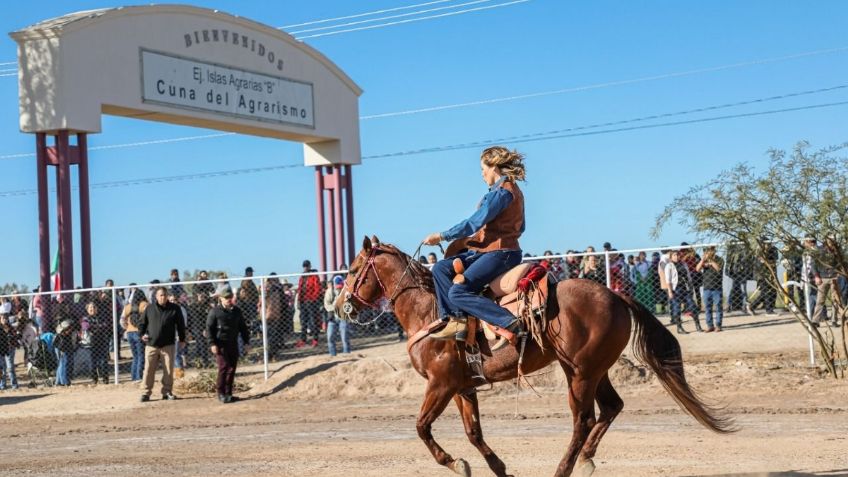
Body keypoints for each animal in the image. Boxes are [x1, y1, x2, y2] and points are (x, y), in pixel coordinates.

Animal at [334, 238, 732, 476]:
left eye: (353, 271)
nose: (339, 306)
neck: (429, 311)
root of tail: (616, 296)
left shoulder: (441, 384)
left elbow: (421, 427)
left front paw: (455, 463)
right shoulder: (463, 387)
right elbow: (473, 433)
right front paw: (500, 468)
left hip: (580, 374)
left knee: (583, 420)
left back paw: (565, 467)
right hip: (593, 369)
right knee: (611, 407)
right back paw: (586, 459)